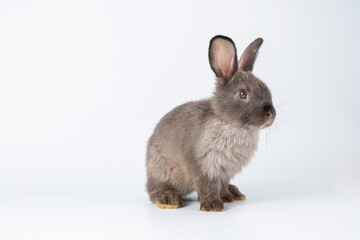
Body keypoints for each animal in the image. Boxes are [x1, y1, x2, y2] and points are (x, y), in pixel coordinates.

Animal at [146, 34, 276, 211]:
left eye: (266, 88)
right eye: (243, 94)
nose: (271, 114)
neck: (231, 124)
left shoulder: (224, 173)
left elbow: (221, 186)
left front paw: (227, 197)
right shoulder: (202, 166)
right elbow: (206, 186)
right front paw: (213, 206)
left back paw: (235, 192)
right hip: (161, 171)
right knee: (154, 190)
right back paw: (168, 200)